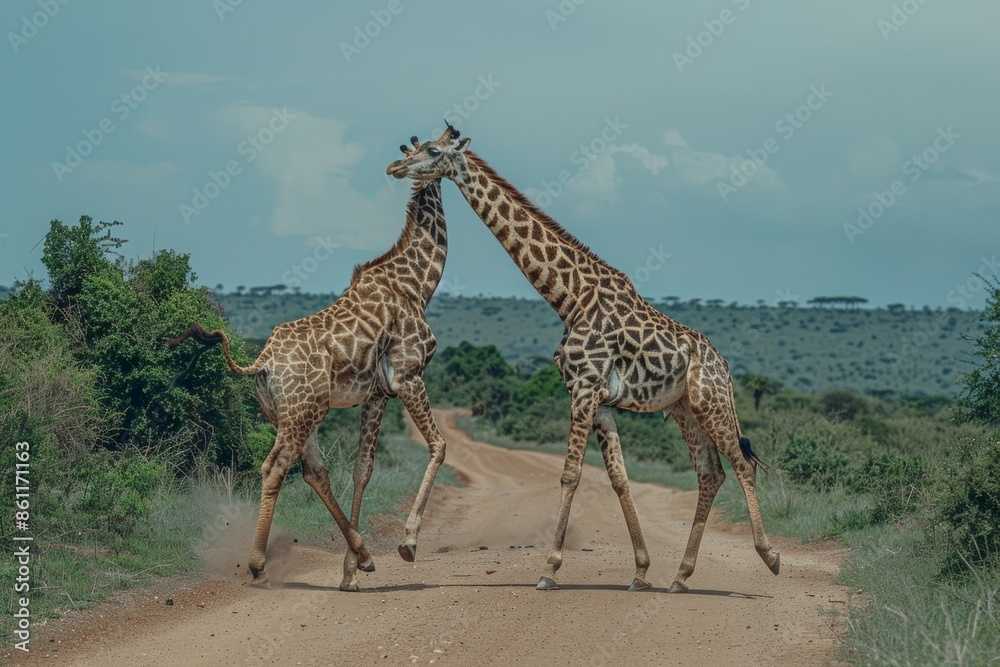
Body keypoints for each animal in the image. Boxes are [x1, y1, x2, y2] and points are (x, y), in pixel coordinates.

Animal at [170, 153, 449, 591]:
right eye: (439, 150)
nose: (397, 167)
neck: (417, 284)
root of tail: (263, 361)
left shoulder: (377, 393)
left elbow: (363, 469)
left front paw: (353, 571)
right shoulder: (408, 375)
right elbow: (437, 445)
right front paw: (407, 545)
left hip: (294, 414)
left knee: (314, 471)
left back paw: (364, 555)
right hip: (302, 415)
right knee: (275, 468)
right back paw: (259, 565)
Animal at [386, 127, 780, 593]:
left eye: (432, 150)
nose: (394, 167)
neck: (568, 297)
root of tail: (724, 367)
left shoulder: (585, 387)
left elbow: (571, 473)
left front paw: (549, 569)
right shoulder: (595, 396)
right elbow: (618, 478)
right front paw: (641, 571)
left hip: (709, 400)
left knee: (742, 464)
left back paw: (770, 556)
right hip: (683, 408)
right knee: (710, 473)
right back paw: (681, 576)